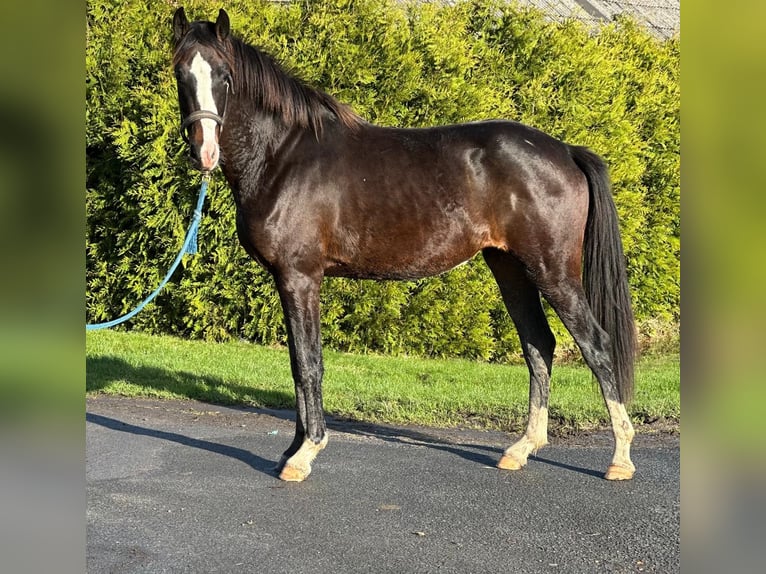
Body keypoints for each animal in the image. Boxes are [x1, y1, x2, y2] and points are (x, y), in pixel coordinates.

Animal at [171, 7, 638, 482]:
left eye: (225, 76)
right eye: (181, 74)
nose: (204, 152)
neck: (282, 156)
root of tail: (565, 150)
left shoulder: (300, 278)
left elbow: (308, 363)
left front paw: (305, 453)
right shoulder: (289, 281)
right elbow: (297, 364)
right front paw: (291, 450)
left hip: (552, 271)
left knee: (596, 345)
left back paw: (619, 458)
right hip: (511, 268)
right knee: (539, 346)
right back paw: (521, 449)